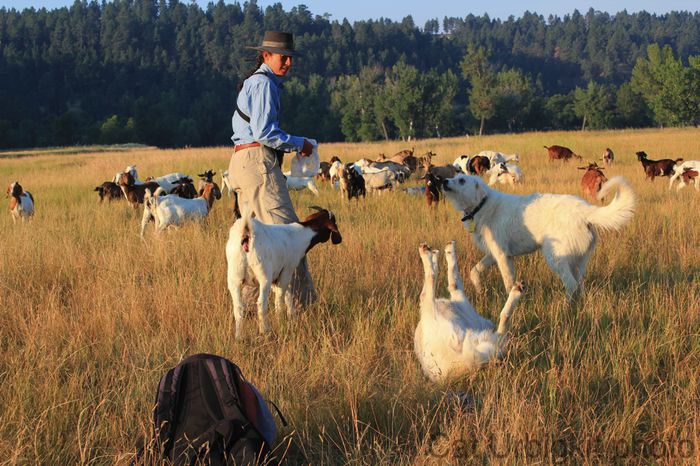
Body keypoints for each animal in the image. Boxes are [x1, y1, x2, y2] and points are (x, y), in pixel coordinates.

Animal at [226, 206, 344, 336]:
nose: (339, 239)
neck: (300, 235)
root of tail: (247, 232)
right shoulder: (287, 271)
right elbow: (281, 299)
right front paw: (282, 320)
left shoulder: (276, 277)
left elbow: (286, 295)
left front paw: (291, 317)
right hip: (263, 277)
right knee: (261, 304)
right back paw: (265, 331)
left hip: (233, 278)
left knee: (238, 307)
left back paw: (239, 336)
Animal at [416, 240, 524, 382]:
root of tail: (465, 363)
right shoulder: (464, 306)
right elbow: (453, 281)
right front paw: (438, 253)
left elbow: (452, 280)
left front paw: (438, 254)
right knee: (503, 322)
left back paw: (432, 252)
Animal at [442, 174, 636, 298]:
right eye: (454, 176)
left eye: (461, 180)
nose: (443, 181)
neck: (481, 204)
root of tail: (585, 209)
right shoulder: (493, 254)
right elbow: (474, 271)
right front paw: (479, 290)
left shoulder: (503, 256)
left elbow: (508, 283)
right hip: (578, 262)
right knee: (579, 285)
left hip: (555, 257)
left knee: (571, 285)